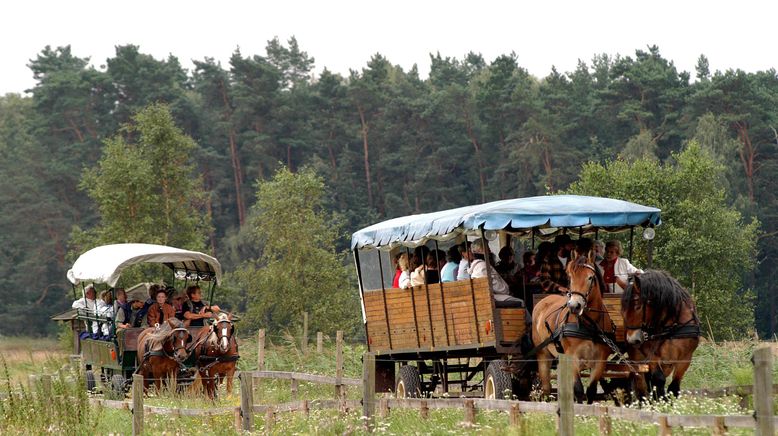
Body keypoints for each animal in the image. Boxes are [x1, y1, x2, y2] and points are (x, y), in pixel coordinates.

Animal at [532, 255, 616, 402]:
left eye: (590, 277)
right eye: (570, 278)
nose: (574, 306)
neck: (589, 325)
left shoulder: (600, 360)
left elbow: (591, 391)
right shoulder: (572, 357)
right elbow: (578, 389)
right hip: (543, 354)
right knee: (546, 387)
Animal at [620, 270, 700, 398]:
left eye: (638, 307)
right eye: (622, 309)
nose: (632, 339)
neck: (671, 327)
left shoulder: (685, 358)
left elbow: (674, 387)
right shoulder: (651, 356)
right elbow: (658, 380)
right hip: (637, 359)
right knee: (641, 387)